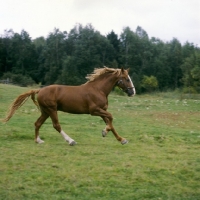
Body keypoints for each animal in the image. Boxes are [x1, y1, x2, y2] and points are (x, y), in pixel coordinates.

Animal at [3, 67, 135, 145]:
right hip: (52, 110)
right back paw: (70, 140)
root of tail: (39, 90)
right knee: (56, 125)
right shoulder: (94, 110)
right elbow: (111, 118)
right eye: (127, 79)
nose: (133, 92)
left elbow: (110, 123)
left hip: (45, 111)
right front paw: (104, 132)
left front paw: (121, 139)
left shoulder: (102, 110)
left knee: (37, 123)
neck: (98, 89)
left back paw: (38, 140)